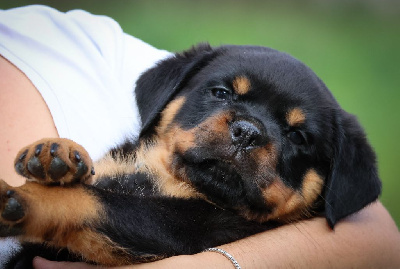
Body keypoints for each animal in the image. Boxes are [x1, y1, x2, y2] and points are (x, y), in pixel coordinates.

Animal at [0, 44, 382, 266]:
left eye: (298, 136)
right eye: (221, 93)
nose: (248, 131)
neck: (163, 177)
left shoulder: (178, 228)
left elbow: (89, 203)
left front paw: (19, 201)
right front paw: (57, 153)